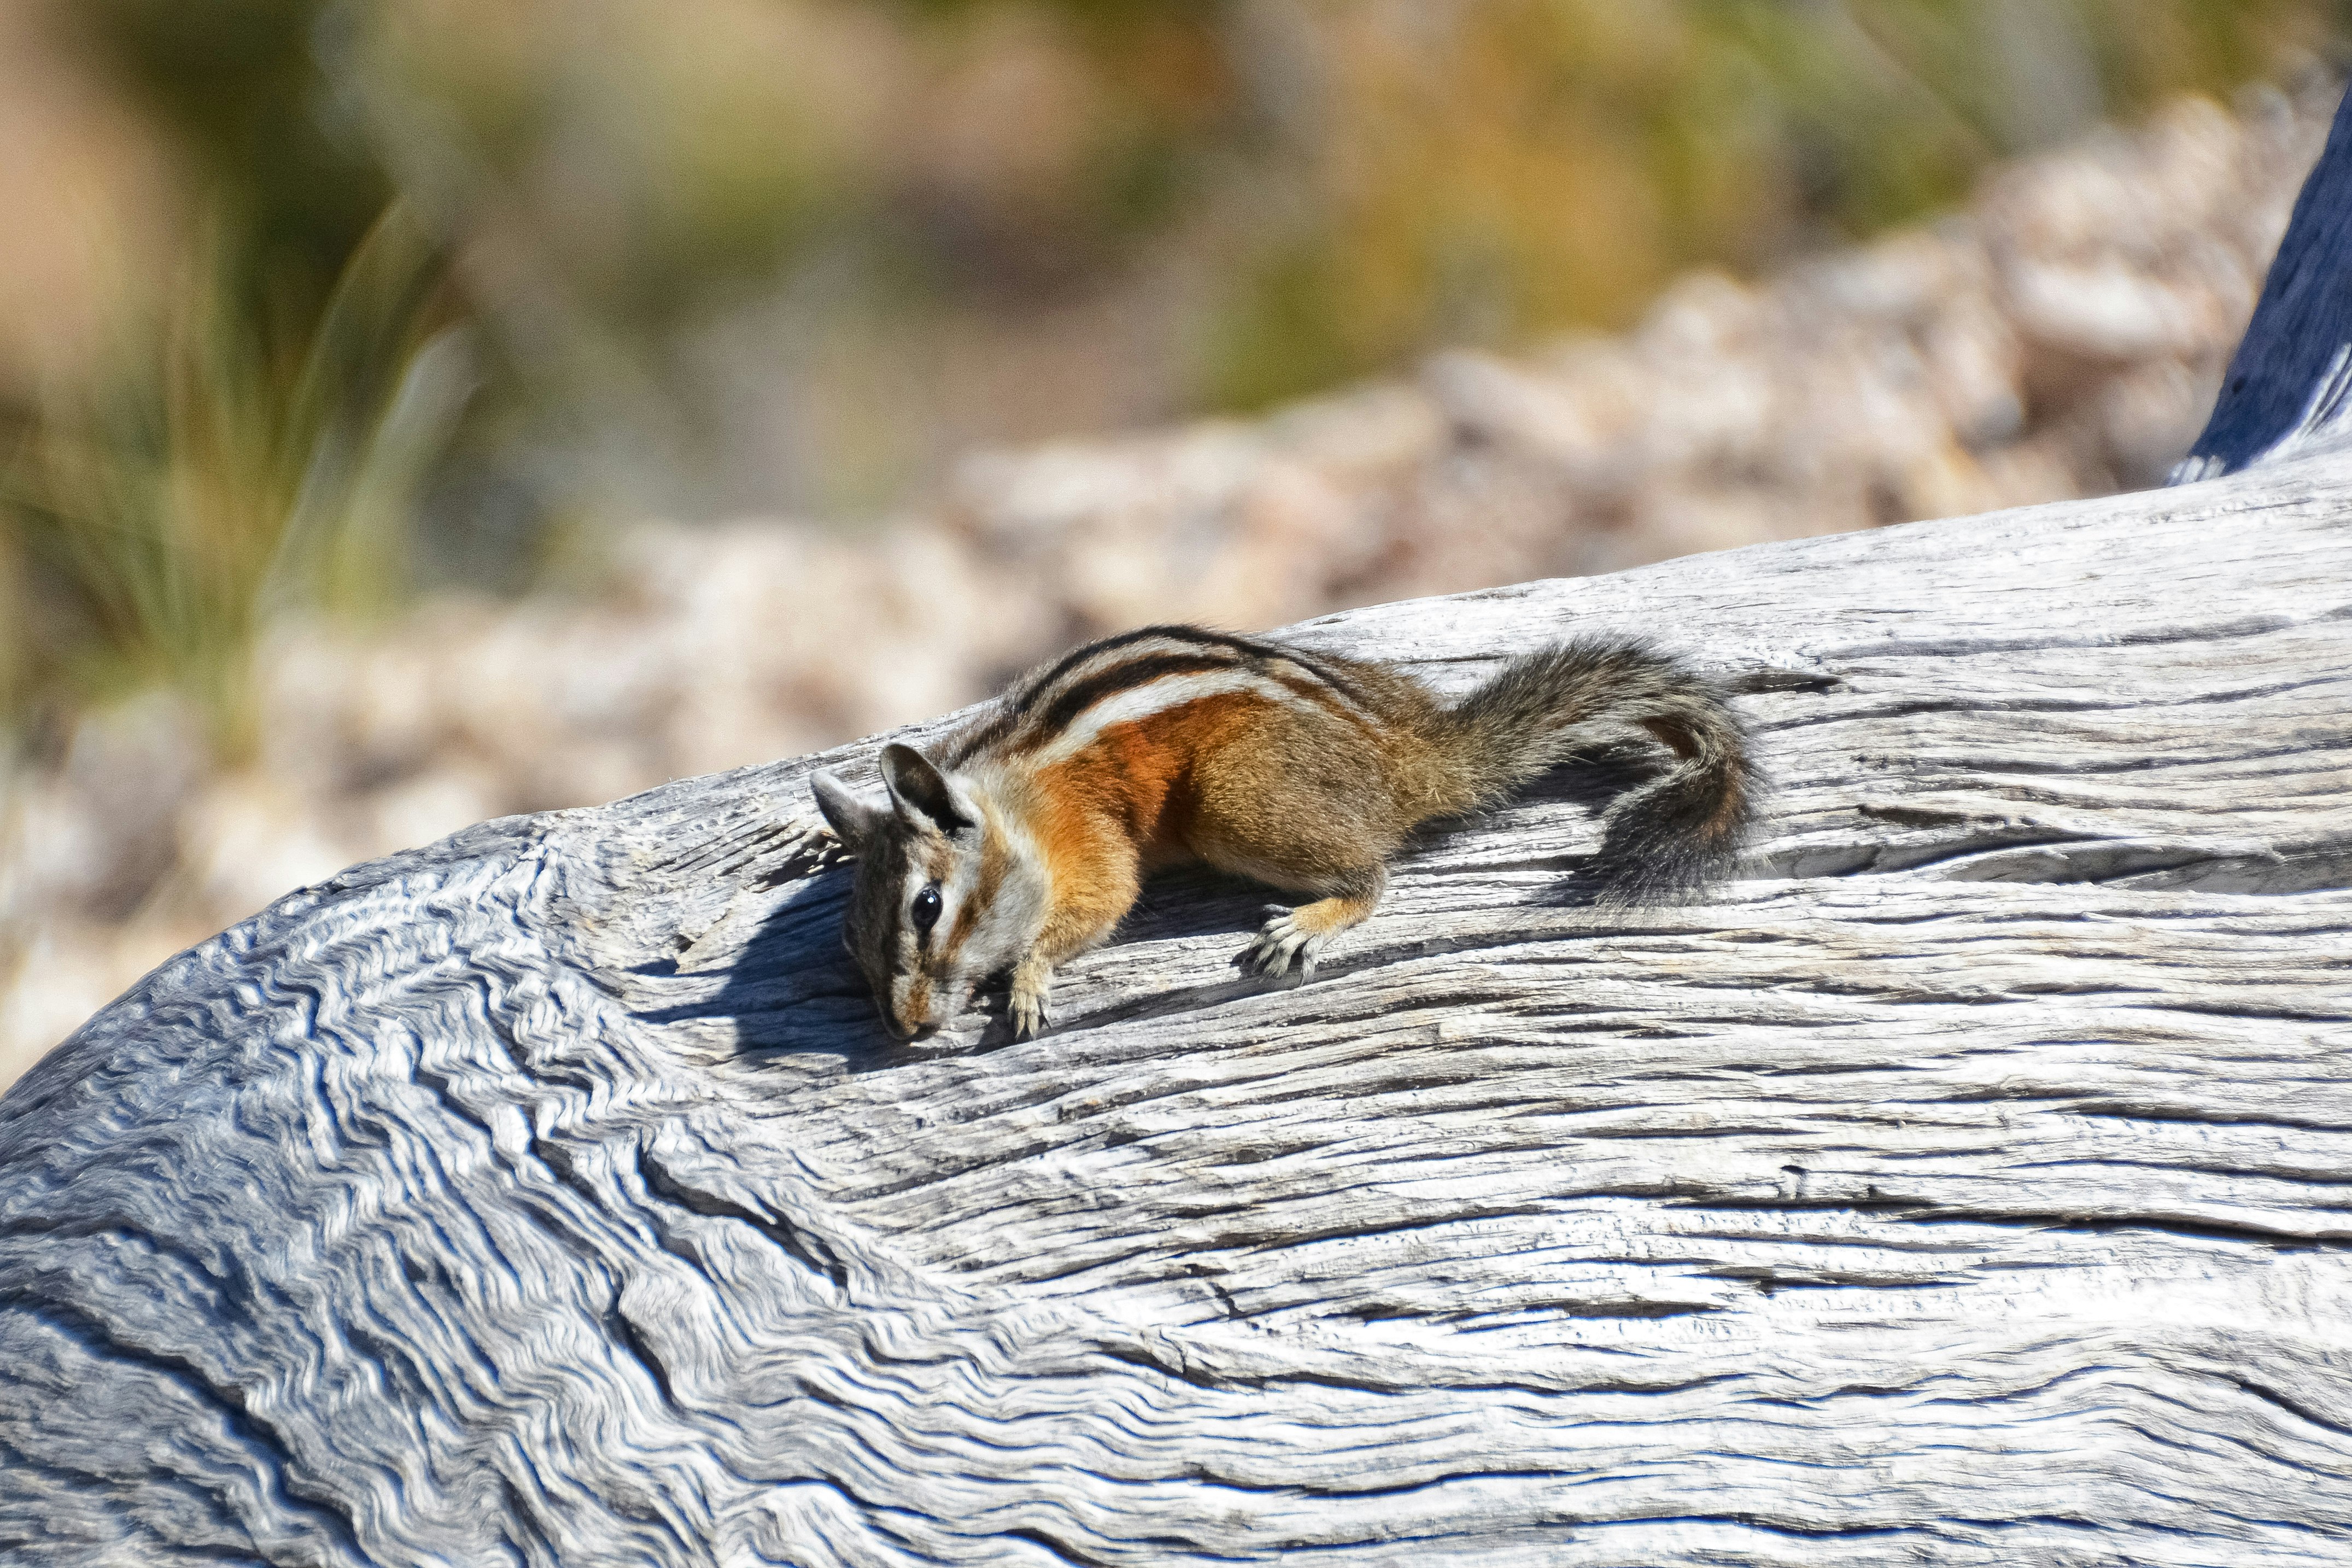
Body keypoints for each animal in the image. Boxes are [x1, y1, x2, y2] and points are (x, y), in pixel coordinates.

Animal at [809, 625, 1750, 1044]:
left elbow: (1102, 904)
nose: (906, 1029)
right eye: (848, 944)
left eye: (928, 907)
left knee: (1373, 876)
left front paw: (1030, 979)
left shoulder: (1088, 847)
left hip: (1232, 801)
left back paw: (1309, 922)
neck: (1009, 804)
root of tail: (1406, 756)